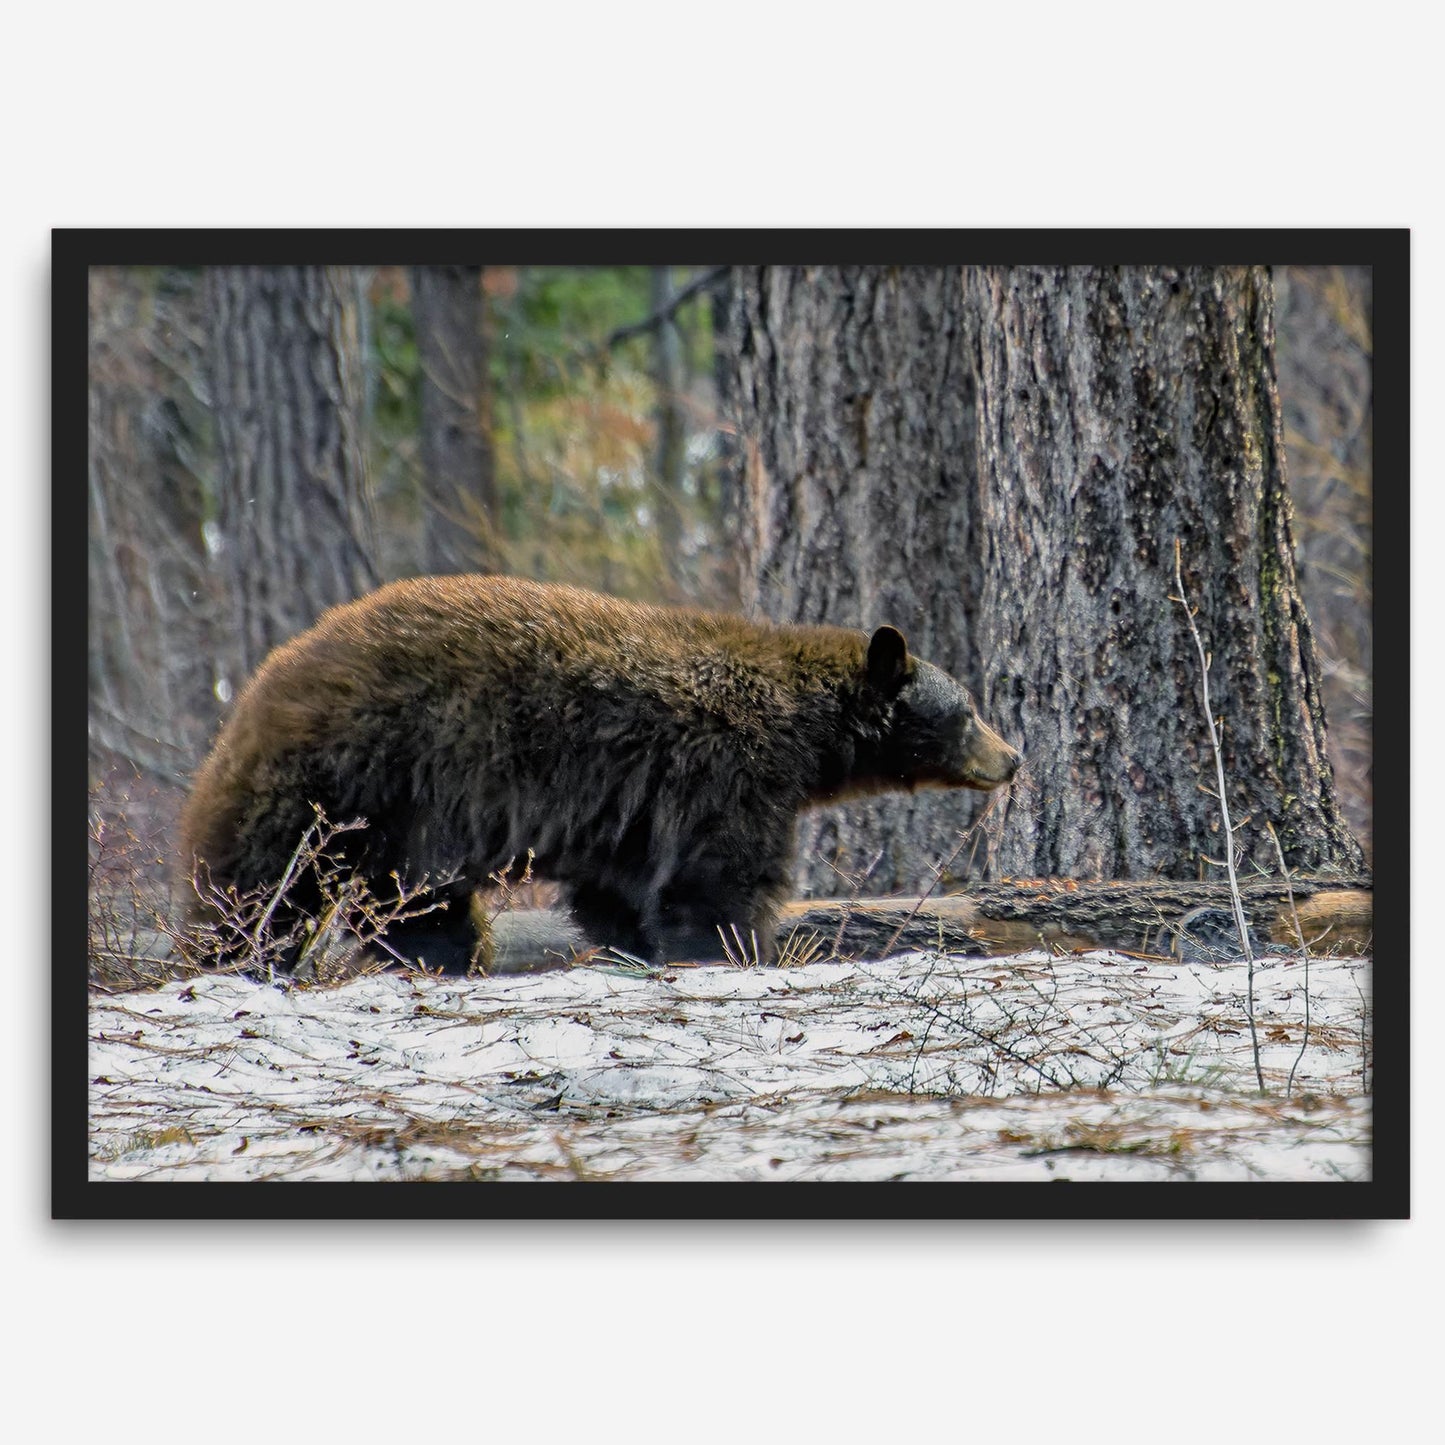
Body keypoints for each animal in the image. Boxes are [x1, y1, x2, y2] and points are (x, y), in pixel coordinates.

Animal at [178, 575, 1021, 974]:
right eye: (968, 709)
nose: (1011, 758)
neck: (804, 733)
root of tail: (259, 686)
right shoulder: (725, 772)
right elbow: (719, 878)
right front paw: (735, 947)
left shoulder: (630, 807)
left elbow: (619, 890)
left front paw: (637, 944)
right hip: (349, 779)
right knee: (262, 885)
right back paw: (233, 953)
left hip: (393, 821)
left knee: (414, 904)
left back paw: (448, 956)